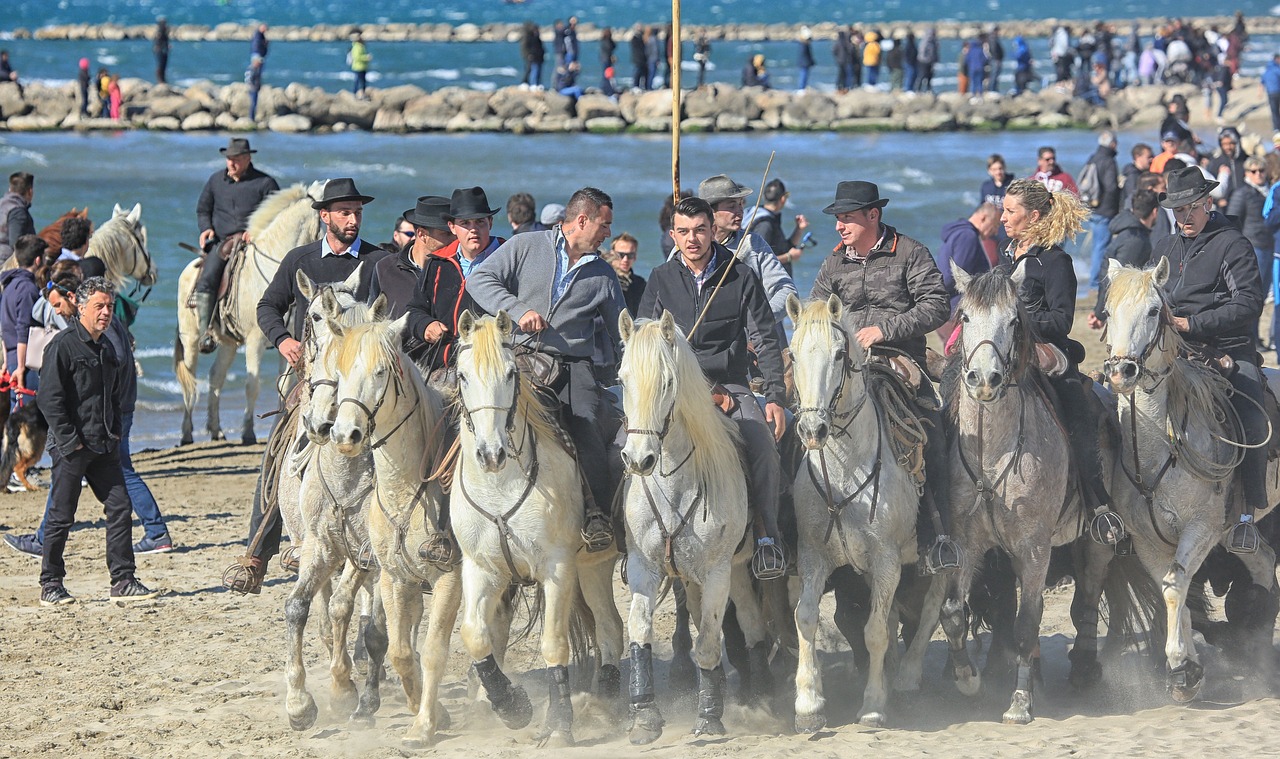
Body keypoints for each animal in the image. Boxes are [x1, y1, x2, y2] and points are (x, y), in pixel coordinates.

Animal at [174, 181, 325, 447]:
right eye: (323, 219)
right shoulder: (255, 340)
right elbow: (252, 385)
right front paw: (248, 432)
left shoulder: (288, 341)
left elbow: (284, 384)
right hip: (190, 339)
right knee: (190, 382)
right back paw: (186, 433)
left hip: (228, 344)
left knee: (216, 377)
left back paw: (216, 430)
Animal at [453, 311, 627, 742]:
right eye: (462, 375)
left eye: (511, 373)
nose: (491, 454)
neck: (500, 485)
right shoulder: (482, 569)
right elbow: (475, 635)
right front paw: (511, 706)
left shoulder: (557, 568)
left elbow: (554, 644)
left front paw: (559, 723)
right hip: (592, 566)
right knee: (610, 626)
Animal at [616, 311, 768, 742]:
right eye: (622, 378)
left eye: (668, 382)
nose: (639, 460)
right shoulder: (644, 567)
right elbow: (640, 632)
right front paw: (645, 715)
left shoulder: (717, 572)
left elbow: (710, 642)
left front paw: (709, 717)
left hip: (737, 570)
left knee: (751, 627)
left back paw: (758, 697)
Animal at [783, 294, 947, 727]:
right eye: (793, 353)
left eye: (840, 354)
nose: (812, 431)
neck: (844, 470)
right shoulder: (814, 554)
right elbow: (806, 617)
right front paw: (808, 703)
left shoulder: (886, 558)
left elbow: (874, 632)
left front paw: (873, 704)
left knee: (932, 607)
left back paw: (908, 677)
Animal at [1105, 258, 1274, 696]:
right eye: (1108, 313)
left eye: (1154, 311)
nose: (1122, 371)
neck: (1158, 454)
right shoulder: (1148, 540)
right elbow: (1172, 590)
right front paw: (1188, 668)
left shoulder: (1201, 529)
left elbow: (1176, 587)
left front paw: (1180, 664)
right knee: (1264, 563)